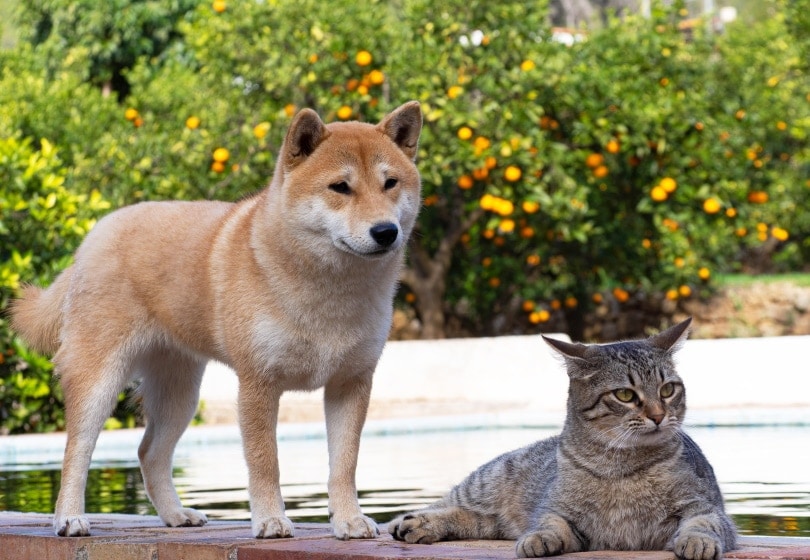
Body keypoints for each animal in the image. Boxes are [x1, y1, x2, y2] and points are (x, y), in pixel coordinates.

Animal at [11, 100, 422, 540]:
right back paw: (69, 518)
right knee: (76, 451)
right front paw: (270, 520)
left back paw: (176, 515)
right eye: (340, 187)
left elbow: (344, 466)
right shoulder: (259, 383)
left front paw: (348, 520)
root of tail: (94, 235)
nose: (386, 231)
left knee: (149, 452)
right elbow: (265, 463)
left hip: (180, 393)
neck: (330, 291)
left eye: (390, 183)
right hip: (99, 381)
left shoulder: (351, 383)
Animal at [388, 318, 736, 556]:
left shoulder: (702, 506)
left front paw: (697, 542)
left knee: (472, 518)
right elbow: (549, 523)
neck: (620, 465)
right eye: (625, 394)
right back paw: (404, 522)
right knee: (448, 502)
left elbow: (703, 524)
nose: (659, 415)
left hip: (492, 518)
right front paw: (540, 538)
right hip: (485, 481)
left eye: (667, 390)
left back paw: (417, 525)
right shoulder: (554, 508)